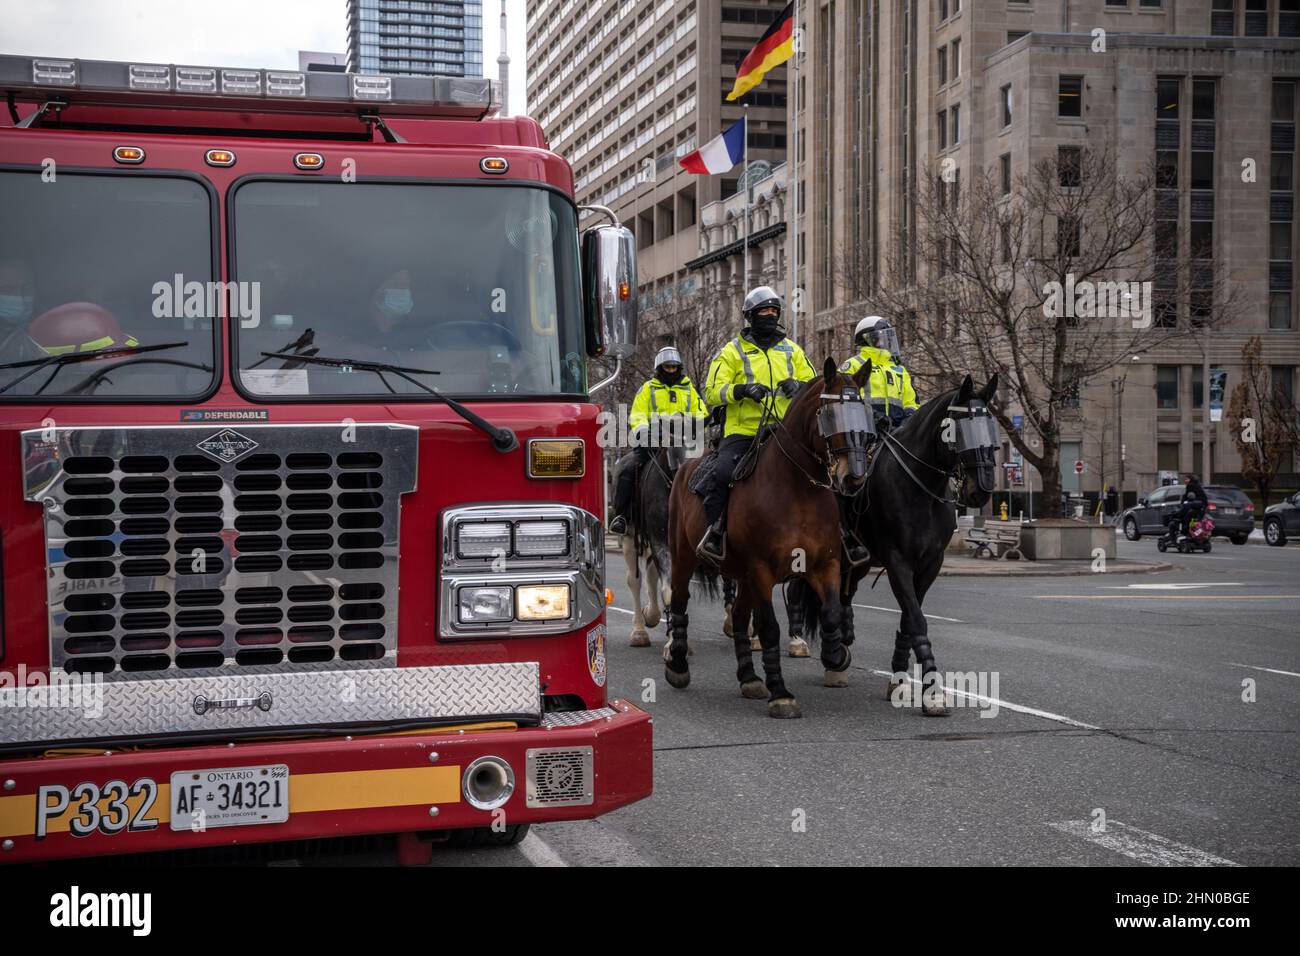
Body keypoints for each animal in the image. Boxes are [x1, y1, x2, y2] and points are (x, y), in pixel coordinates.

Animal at [670, 358, 873, 717]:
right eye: (829, 414)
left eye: (862, 411)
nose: (853, 477)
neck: (797, 489)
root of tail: (686, 467)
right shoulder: (762, 570)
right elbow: (770, 629)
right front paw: (781, 693)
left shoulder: (825, 565)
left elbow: (831, 612)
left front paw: (836, 656)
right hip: (685, 558)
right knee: (680, 602)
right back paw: (678, 667)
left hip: (743, 576)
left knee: (739, 616)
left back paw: (749, 678)